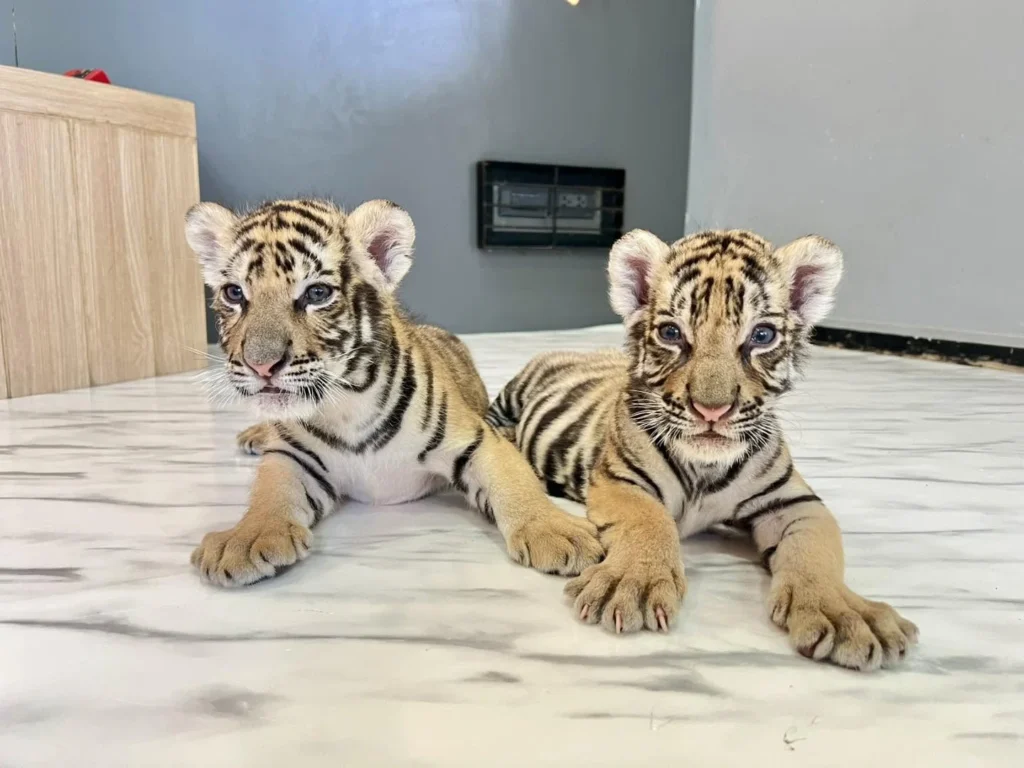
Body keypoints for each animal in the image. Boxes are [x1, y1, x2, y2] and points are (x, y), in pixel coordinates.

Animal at [183, 197, 602, 587]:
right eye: (234, 293)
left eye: (317, 293)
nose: (261, 365)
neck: (347, 402)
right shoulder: (293, 457)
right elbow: (269, 492)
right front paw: (245, 538)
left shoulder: (477, 441)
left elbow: (514, 481)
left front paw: (555, 530)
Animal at [486, 228, 919, 671]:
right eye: (671, 333)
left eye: (762, 336)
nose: (712, 409)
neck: (703, 468)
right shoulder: (622, 481)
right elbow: (648, 521)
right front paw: (633, 583)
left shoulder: (795, 502)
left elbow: (816, 551)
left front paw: (844, 614)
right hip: (515, 392)